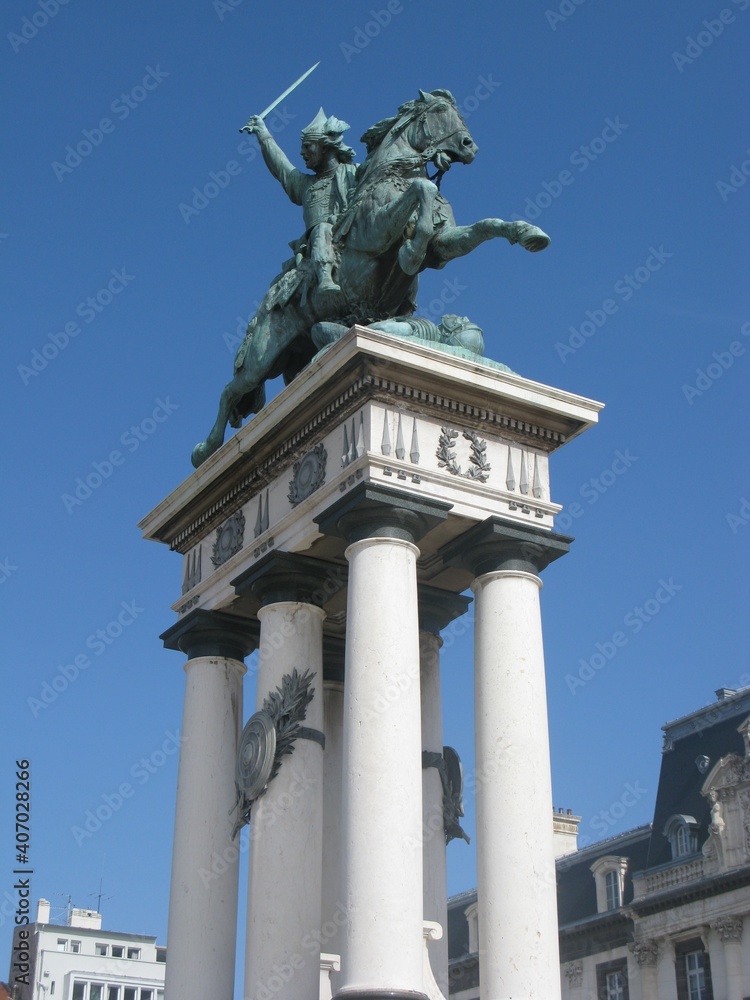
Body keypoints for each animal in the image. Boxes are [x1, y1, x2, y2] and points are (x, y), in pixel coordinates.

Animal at [191, 88, 548, 466]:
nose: (469, 146)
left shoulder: (445, 244)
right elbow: (420, 189)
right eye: (439, 111)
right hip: (262, 355)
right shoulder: (375, 230)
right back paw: (206, 449)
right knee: (231, 389)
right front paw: (410, 252)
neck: (392, 174)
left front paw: (527, 232)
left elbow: (484, 225)